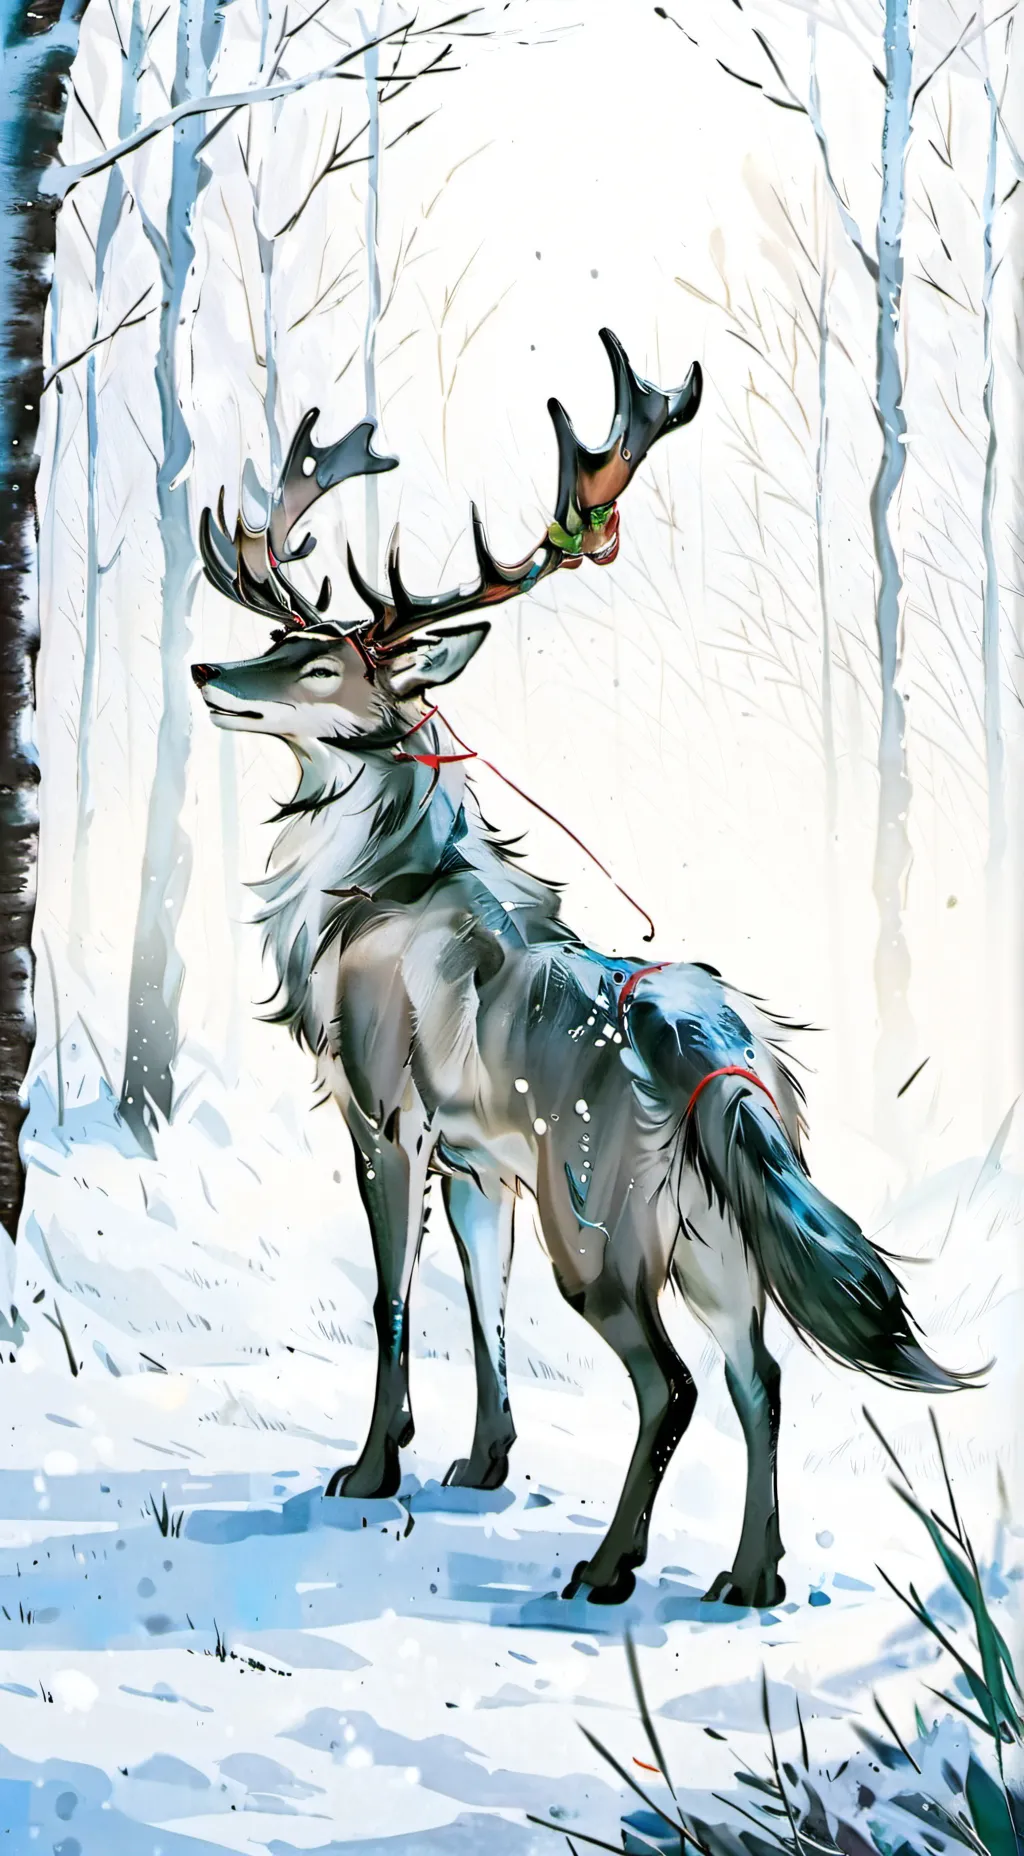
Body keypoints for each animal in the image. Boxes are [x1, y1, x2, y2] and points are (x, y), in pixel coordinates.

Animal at [191, 329, 967, 1609]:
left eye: (318, 666)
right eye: (273, 638)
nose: (209, 669)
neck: (356, 904)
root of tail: (728, 1066)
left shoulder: (382, 1106)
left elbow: (392, 1292)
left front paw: (371, 1467)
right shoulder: (478, 1156)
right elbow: (480, 1296)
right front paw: (482, 1459)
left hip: (600, 1215)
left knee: (675, 1379)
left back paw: (607, 1565)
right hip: (711, 1228)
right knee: (762, 1371)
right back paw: (749, 1575)